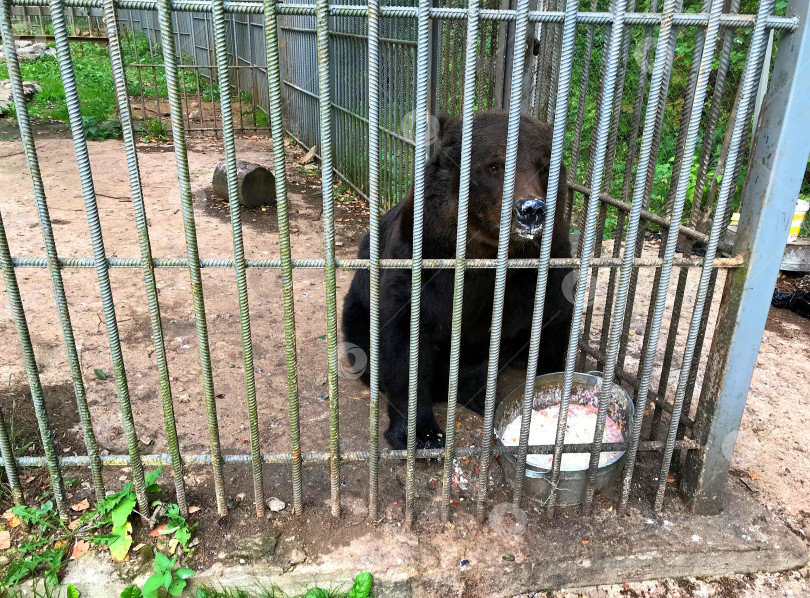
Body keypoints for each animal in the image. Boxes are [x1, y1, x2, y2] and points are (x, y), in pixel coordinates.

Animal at [338, 111, 572, 450]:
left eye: (544, 167)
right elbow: (405, 341)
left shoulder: (543, 268)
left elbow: (554, 326)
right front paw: (421, 434)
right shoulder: (423, 261)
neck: (486, 254)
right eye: (494, 165)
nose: (531, 210)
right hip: (358, 307)